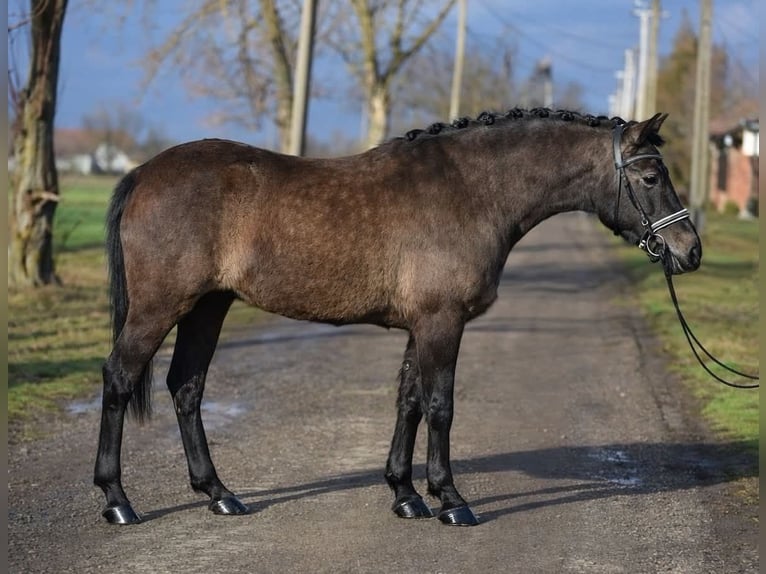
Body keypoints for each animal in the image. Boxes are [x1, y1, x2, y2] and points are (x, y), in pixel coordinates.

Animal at [94, 108, 701, 526]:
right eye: (651, 178)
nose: (690, 251)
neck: (472, 190)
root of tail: (144, 173)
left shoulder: (422, 325)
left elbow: (408, 400)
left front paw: (406, 495)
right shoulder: (441, 323)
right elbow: (440, 406)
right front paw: (450, 500)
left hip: (207, 307)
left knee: (186, 387)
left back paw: (219, 494)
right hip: (159, 308)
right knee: (120, 379)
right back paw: (118, 500)